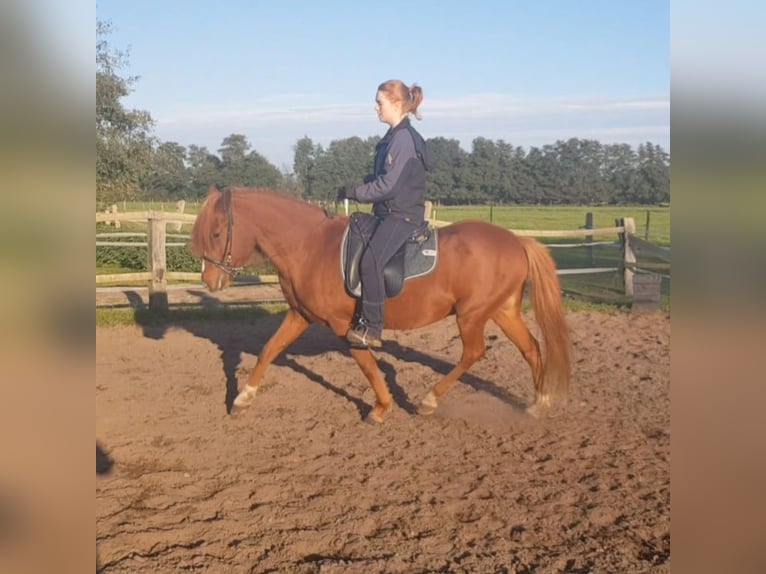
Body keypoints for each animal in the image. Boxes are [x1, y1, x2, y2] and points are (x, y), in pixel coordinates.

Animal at [190, 186, 571, 423]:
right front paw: (243, 399)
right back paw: (540, 403)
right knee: (531, 348)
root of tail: (516, 240)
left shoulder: (345, 325)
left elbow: (366, 364)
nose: (210, 280)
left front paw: (381, 407)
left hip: (472, 315)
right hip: (502, 311)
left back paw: (430, 401)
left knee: (474, 352)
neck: (309, 246)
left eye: (216, 232)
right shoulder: (299, 316)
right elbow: (269, 350)